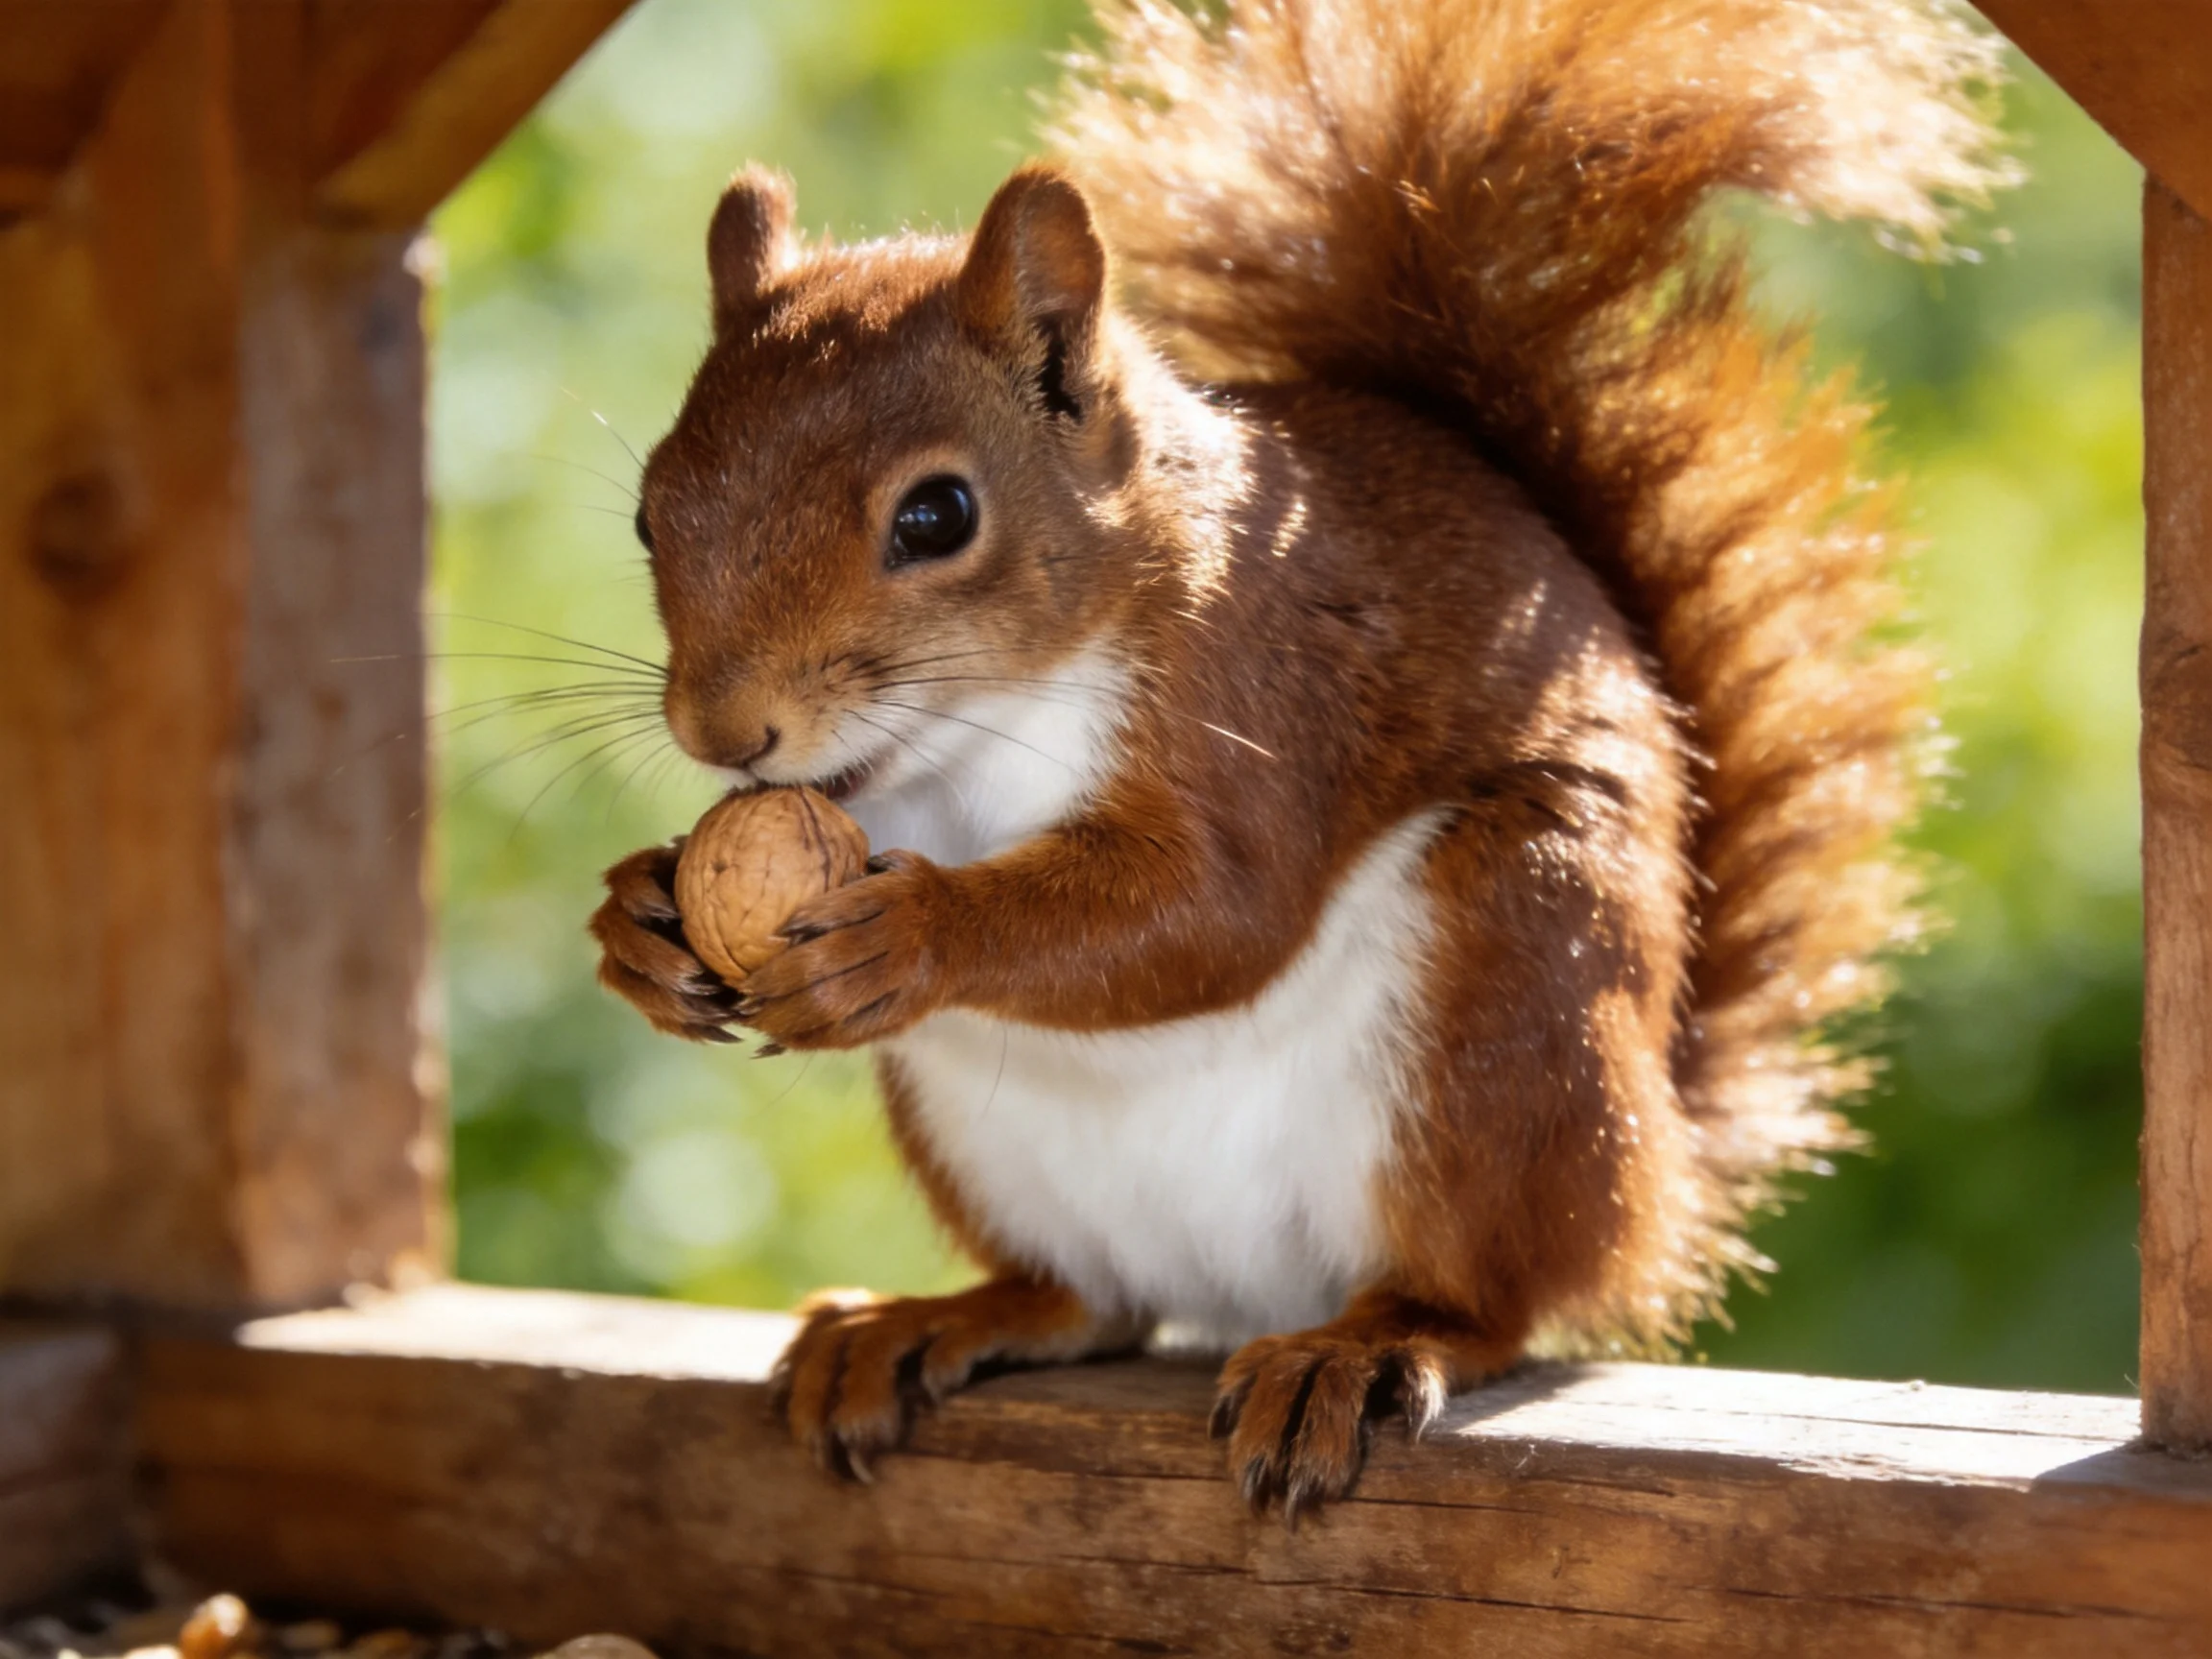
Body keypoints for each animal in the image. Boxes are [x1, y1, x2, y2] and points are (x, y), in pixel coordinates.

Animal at [589, 0, 2008, 1513]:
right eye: (650, 512)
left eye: (936, 515)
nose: (724, 733)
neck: (979, 730)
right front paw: (639, 917)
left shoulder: (1266, 694)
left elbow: (1219, 910)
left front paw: (916, 933)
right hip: (991, 1146)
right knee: (1089, 1302)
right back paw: (931, 1320)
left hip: (1511, 987)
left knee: (1490, 1297)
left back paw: (1371, 1348)